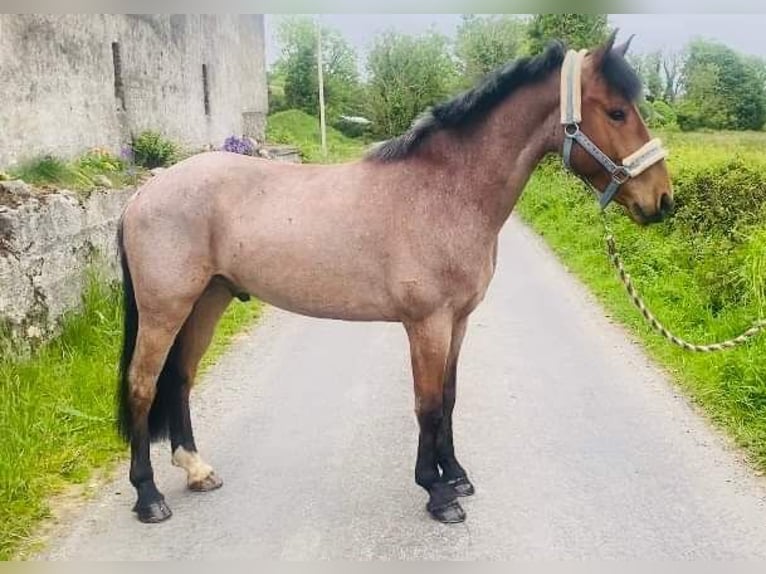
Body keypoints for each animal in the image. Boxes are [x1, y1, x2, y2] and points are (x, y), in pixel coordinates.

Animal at [117, 32, 676, 528]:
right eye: (617, 111)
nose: (663, 199)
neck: (446, 192)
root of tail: (145, 191)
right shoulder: (426, 323)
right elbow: (426, 405)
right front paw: (437, 492)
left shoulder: (458, 322)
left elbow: (449, 398)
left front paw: (456, 475)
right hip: (166, 308)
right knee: (143, 384)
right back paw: (149, 497)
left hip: (207, 300)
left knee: (180, 379)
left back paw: (196, 469)